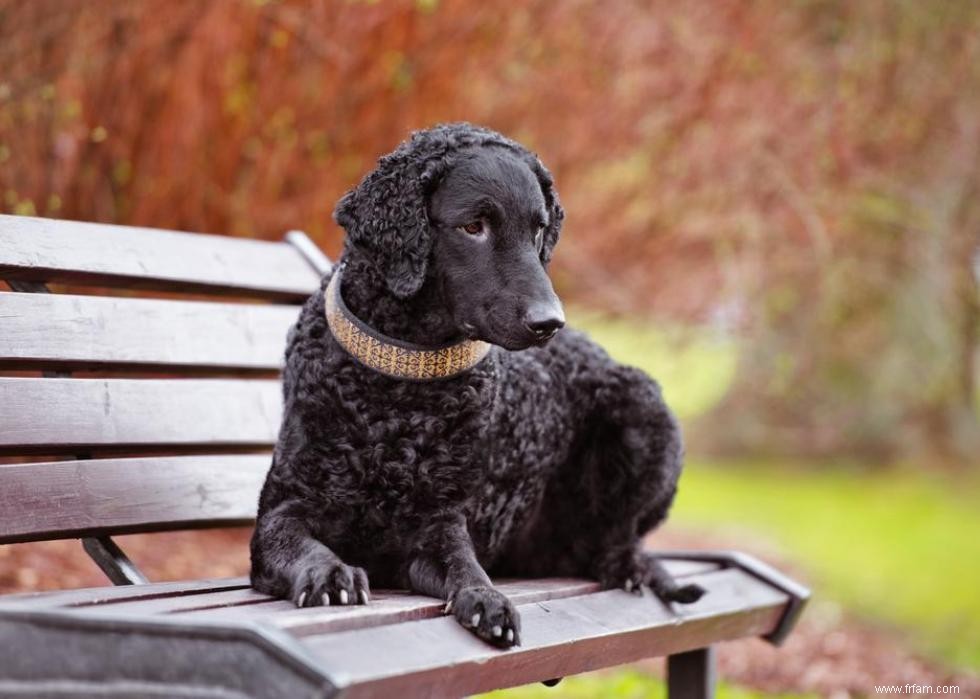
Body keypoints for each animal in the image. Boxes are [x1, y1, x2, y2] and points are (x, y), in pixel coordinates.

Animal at [249, 121, 700, 652]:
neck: (402, 393)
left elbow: (465, 566)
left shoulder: (439, 525)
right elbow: (300, 544)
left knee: (621, 540)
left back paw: (629, 568)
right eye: (473, 227)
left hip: (643, 406)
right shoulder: (282, 513)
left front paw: (488, 601)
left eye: (538, 229)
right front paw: (330, 574)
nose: (550, 322)